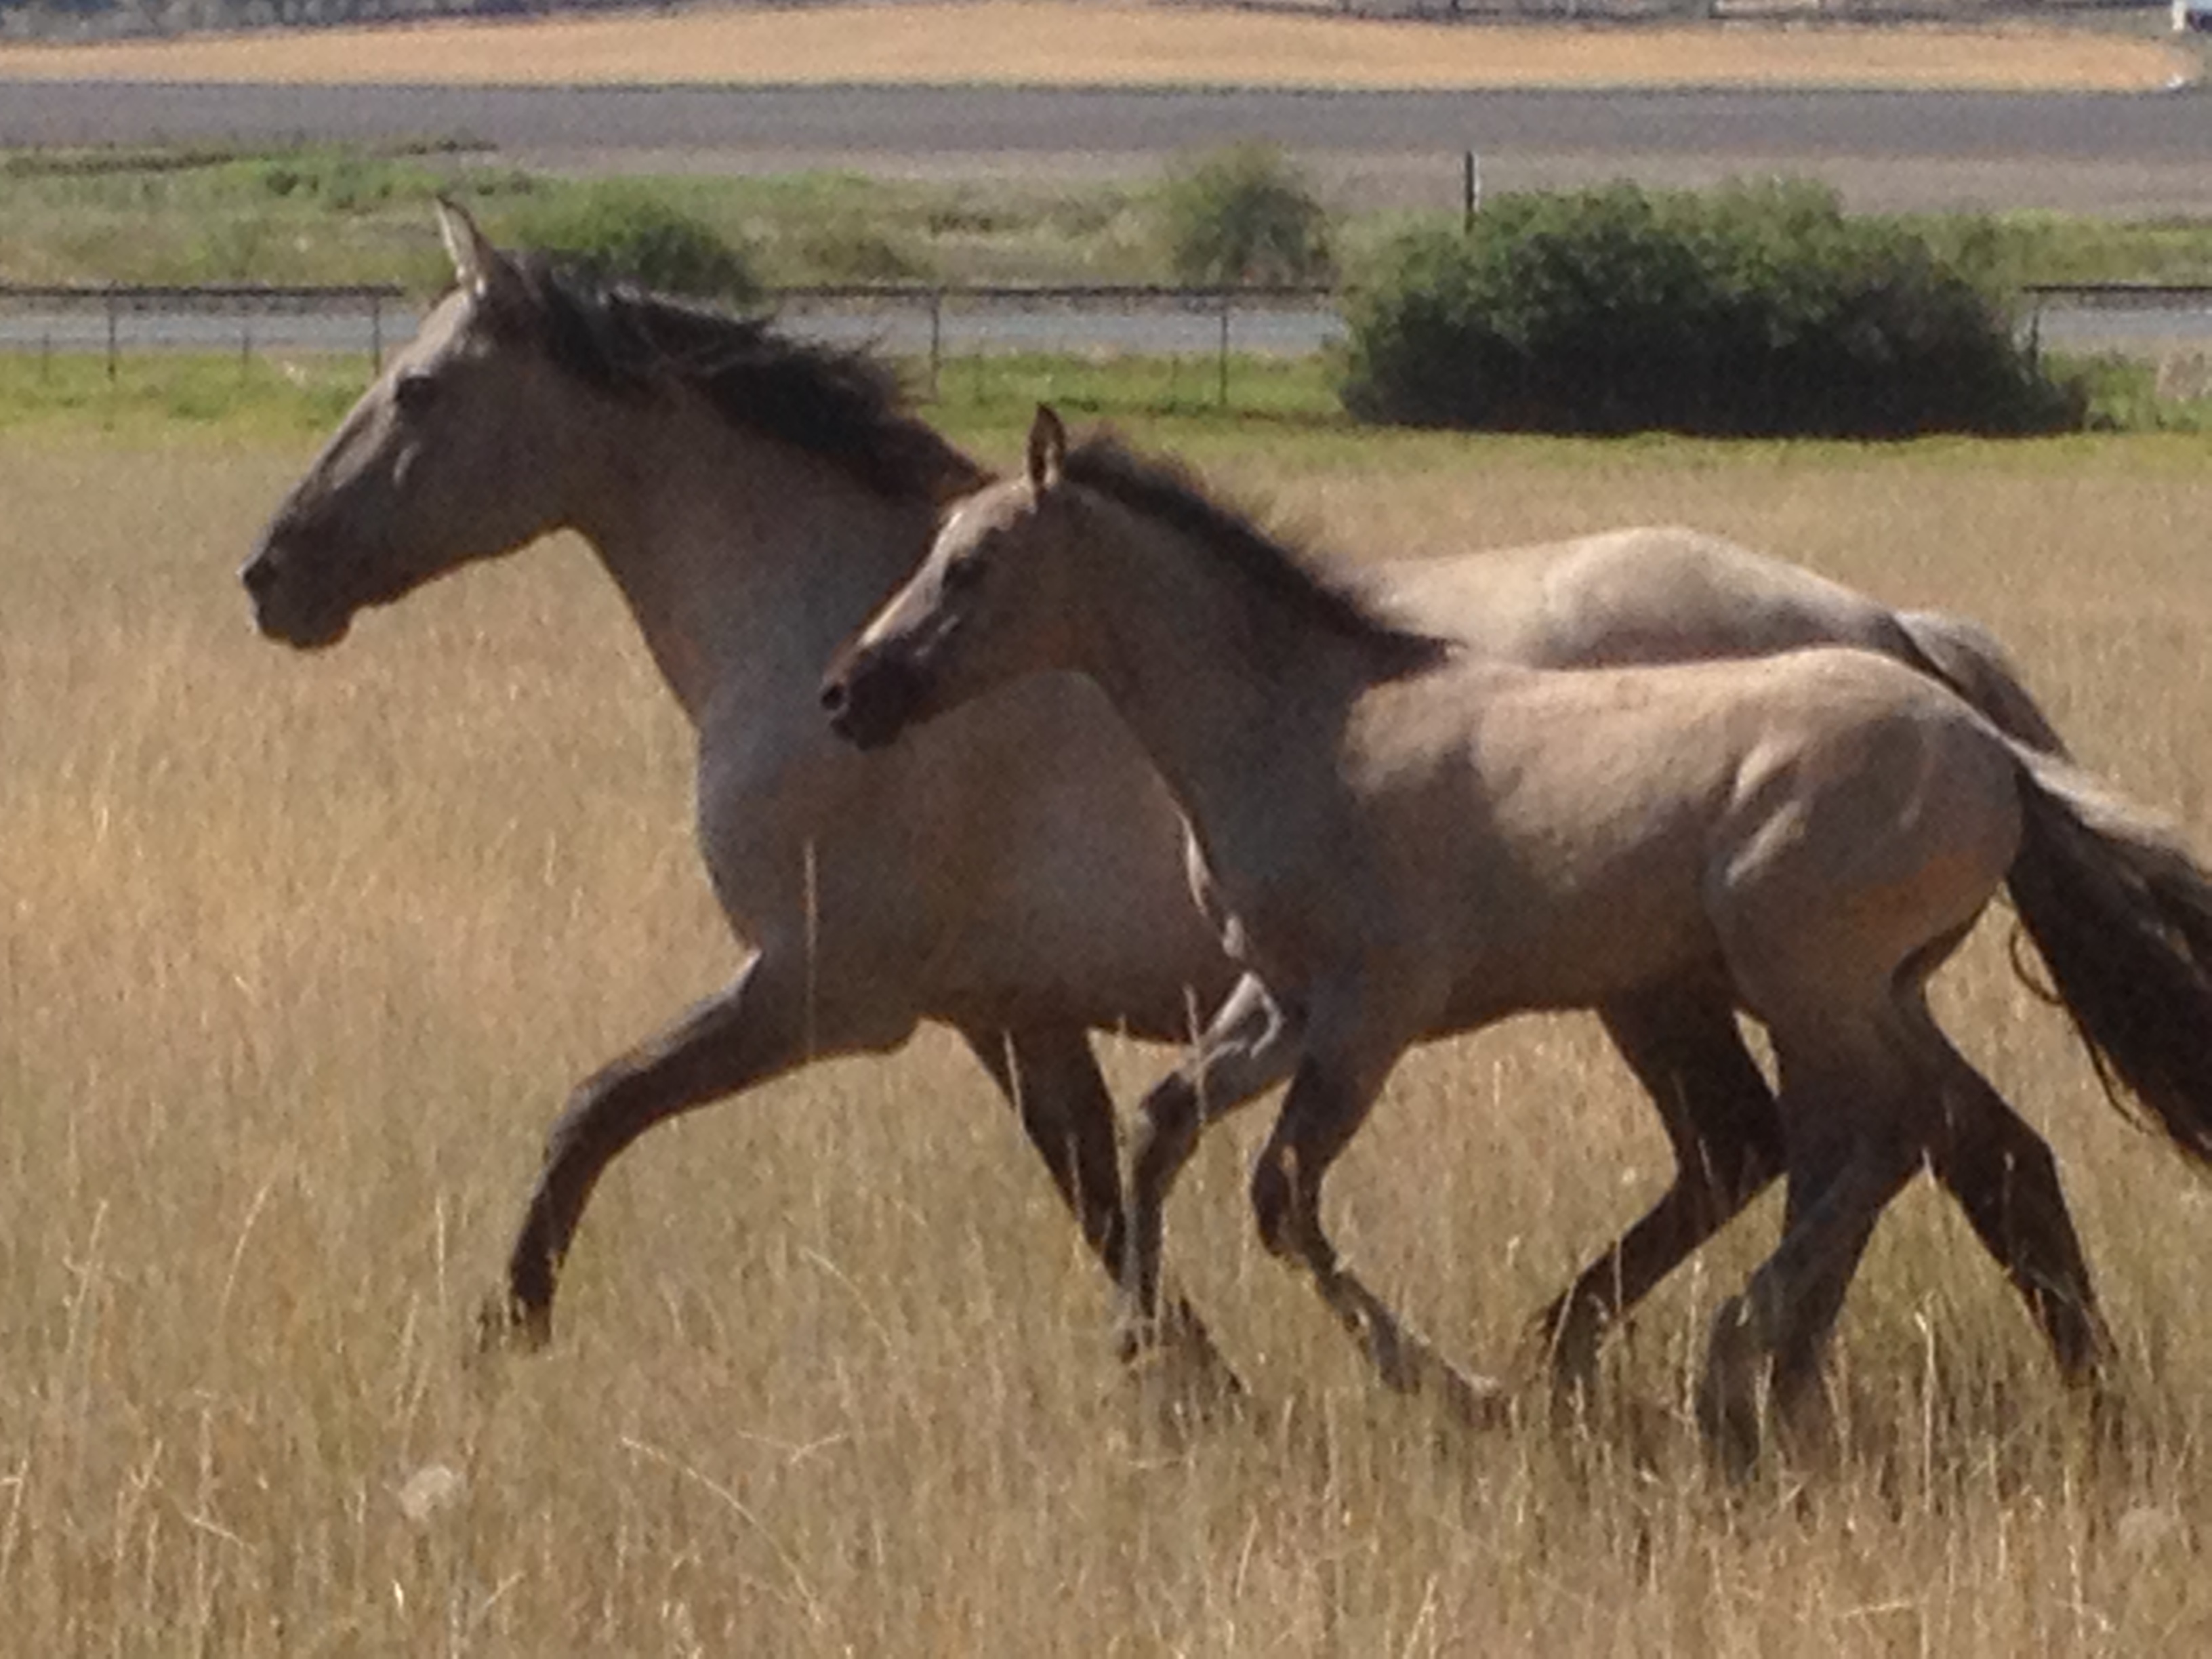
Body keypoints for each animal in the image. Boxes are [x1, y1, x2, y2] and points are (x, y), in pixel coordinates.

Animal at [246, 200, 2076, 1405]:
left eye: (416, 391)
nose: (274, 577)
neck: (836, 629)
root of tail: (1893, 631)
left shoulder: (826, 995)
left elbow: (594, 1108)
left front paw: (507, 1326)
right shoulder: (1015, 1015)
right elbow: (1099, 1174)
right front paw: (1189, 1375)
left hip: (1705, 981)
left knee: (1864, 1146)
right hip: (1716, 984)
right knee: (1896, 1148)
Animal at [822, 407, 2212, 1470]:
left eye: (970, 566)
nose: (848, 694)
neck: (1301, 730)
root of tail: (1987, 750)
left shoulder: (1369, 1015)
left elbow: (1281, 1196)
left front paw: (1451, 1387)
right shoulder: (1273, 1000)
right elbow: (1162, 1127)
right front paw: (1138, 1344)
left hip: (1803, 981)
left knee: (1875, 1135)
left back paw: (1732, 1364)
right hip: (1862, 989)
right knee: (1907, 1140)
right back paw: (1775, 1379)